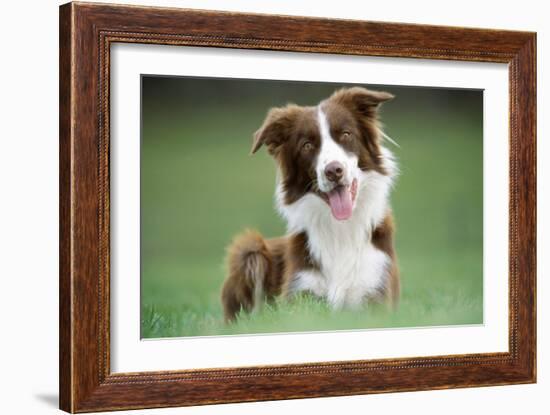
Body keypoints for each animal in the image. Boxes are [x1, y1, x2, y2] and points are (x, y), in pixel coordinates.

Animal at [221, 87, 402, 322]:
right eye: (307, 145)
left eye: (346, 134)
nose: (333, 171)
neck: (340, 229)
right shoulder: (301, 292)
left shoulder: (375, 288)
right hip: (249, 249)